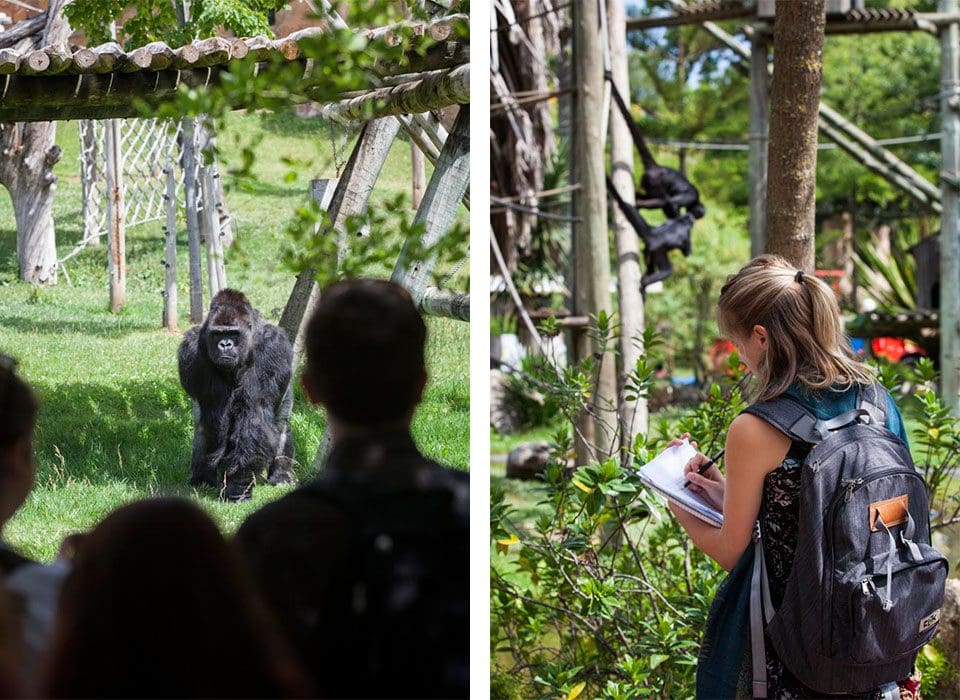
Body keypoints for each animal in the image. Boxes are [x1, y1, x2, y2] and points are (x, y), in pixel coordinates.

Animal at [177, 290, 294, 504]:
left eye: (233, 333)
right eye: (218, 334)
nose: (225, 344)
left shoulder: (274, 347)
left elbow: (254, 417)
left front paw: (238, 484)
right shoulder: (190, 349)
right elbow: (216, 416)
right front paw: (233, 483)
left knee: (281, 425)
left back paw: (281, 475)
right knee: (202, 429)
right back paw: (202, 478)